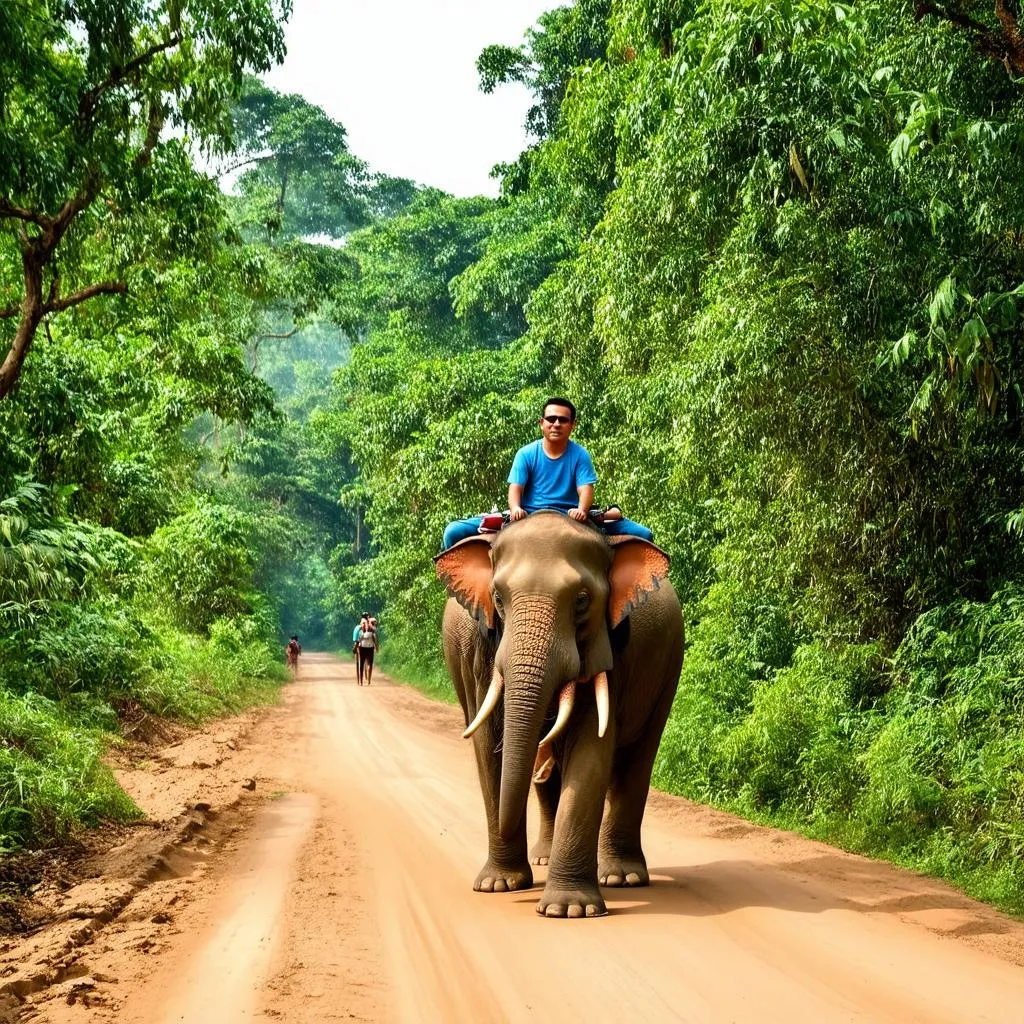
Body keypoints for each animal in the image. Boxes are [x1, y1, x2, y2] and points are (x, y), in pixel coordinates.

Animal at [432, 512, 679, 921]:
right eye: (497, 599)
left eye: (582, 601)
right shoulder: (479, 654)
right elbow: (489, 748)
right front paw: (499, 885)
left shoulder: (608, 651)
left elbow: (592, 746)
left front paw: (569, 909)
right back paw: (544, 860)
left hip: (668, 671)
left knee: (637, 759)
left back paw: (621, 878)